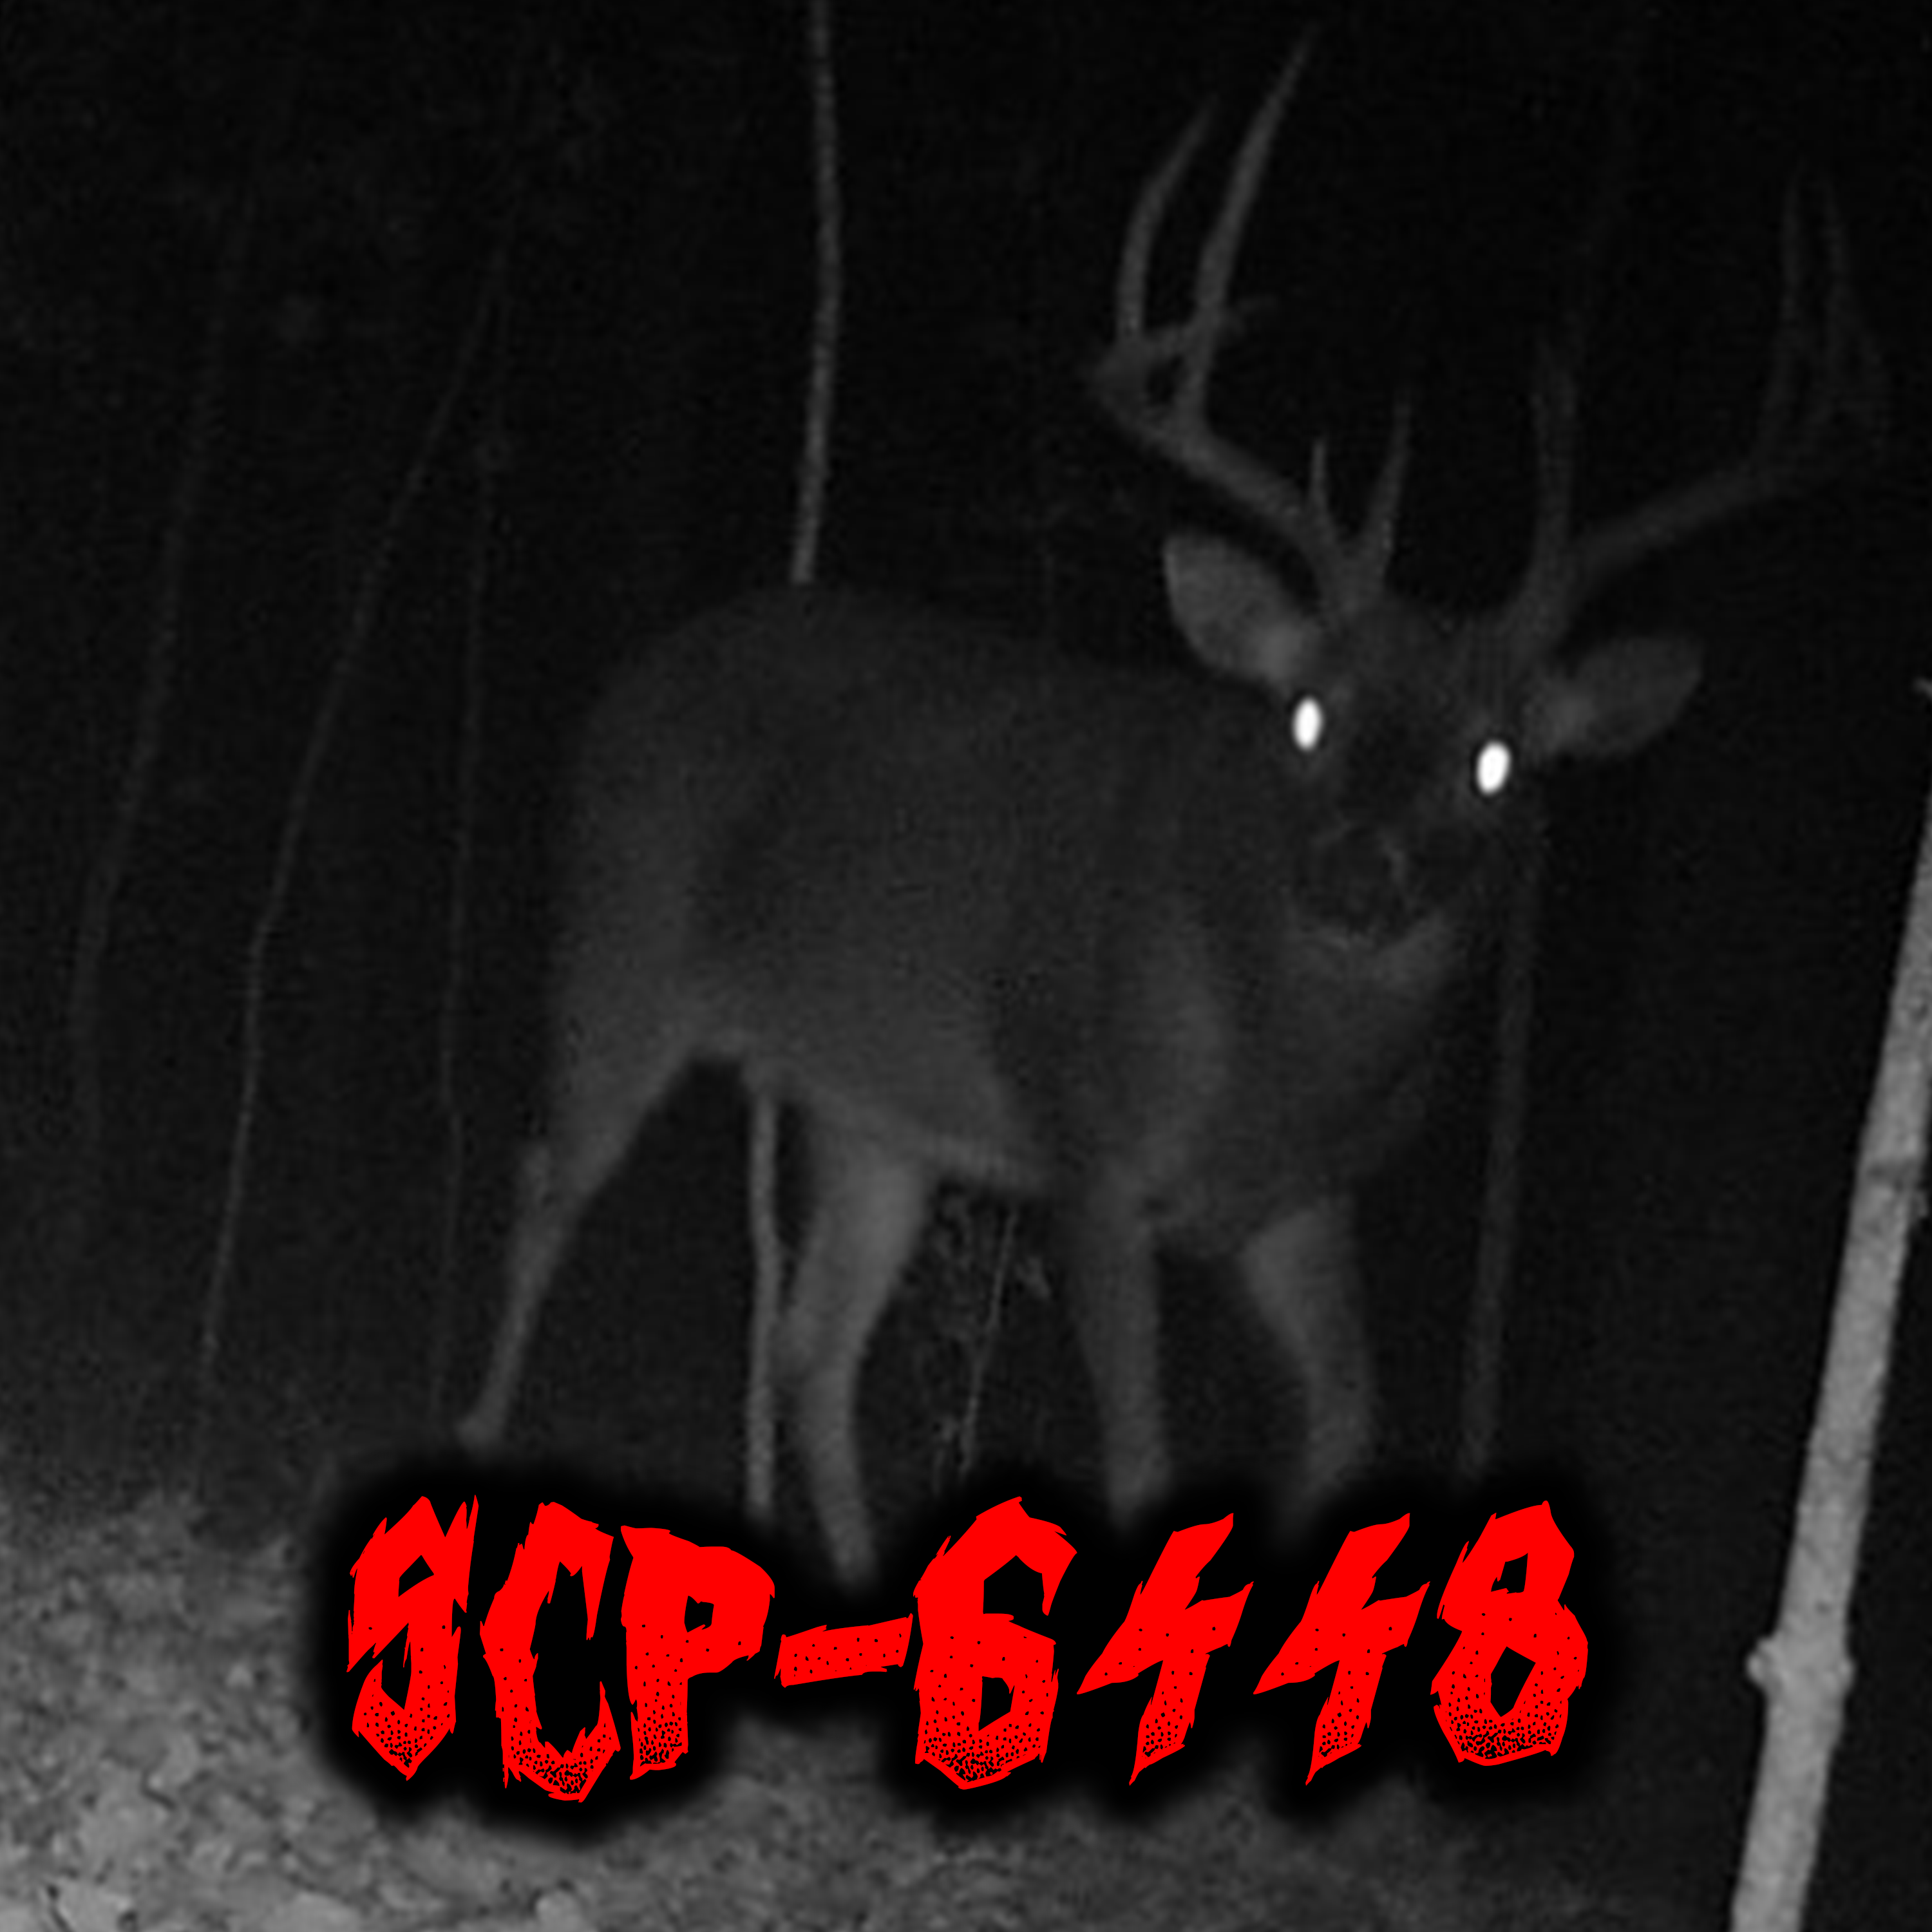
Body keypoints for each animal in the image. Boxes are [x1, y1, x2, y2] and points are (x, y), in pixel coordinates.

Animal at [455, 40, 1880, 1587]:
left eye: (1496, 761)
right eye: (1307, 714)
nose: (1359, 876)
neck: (1273, 1063)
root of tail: (629, 679)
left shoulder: (1310, 1201)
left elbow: (1347, 1429)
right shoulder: (1092, 1143)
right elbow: (1141, 1456)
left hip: (867, 1102)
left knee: (812, 1349)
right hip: (619, 941)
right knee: (543, 1189)